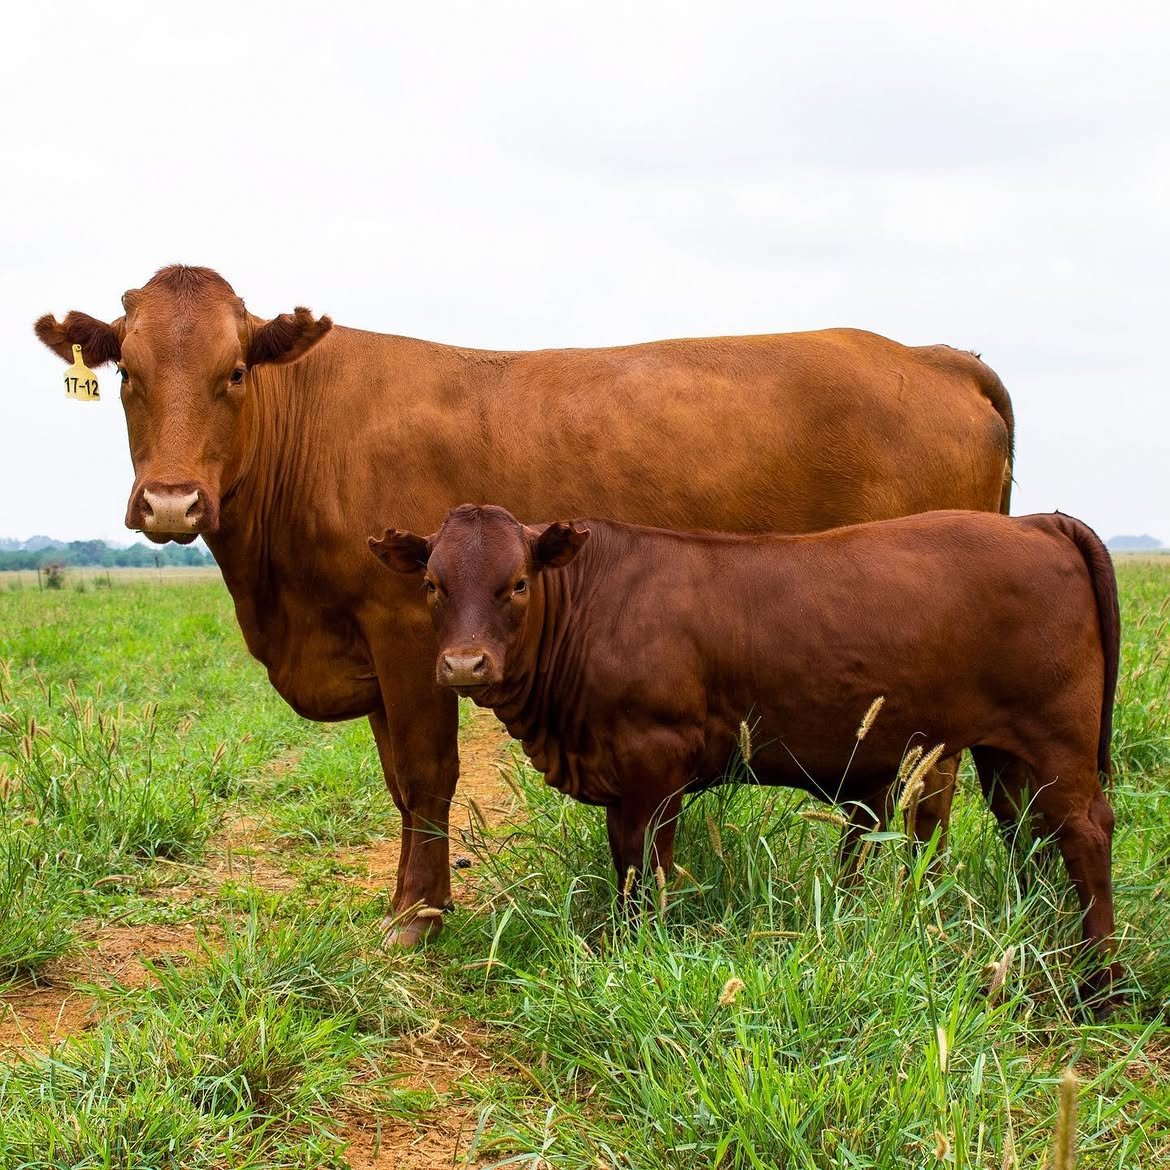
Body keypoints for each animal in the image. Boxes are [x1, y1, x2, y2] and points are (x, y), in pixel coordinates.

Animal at [35, 265, 1014, 943]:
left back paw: (908, 898)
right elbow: (399, 784)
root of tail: (930, 355)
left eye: (235, 371)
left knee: (928, 781)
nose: (171, 503)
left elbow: (428, 775)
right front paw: (410, 902)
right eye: (127, 372)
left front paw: (418, 919)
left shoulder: (405, 632)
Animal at [369, 503, 1121, 1000]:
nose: (464, 666)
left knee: (1085, 833)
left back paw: (1102, 981)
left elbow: (645, 870)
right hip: (1006, 754)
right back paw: (1039, 934)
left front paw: (636, 947)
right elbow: (627, 863)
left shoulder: (654, 766)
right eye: (432, 584)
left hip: (1057, 741)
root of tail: (1038, 521)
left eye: (518, 583)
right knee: (1027, 833)